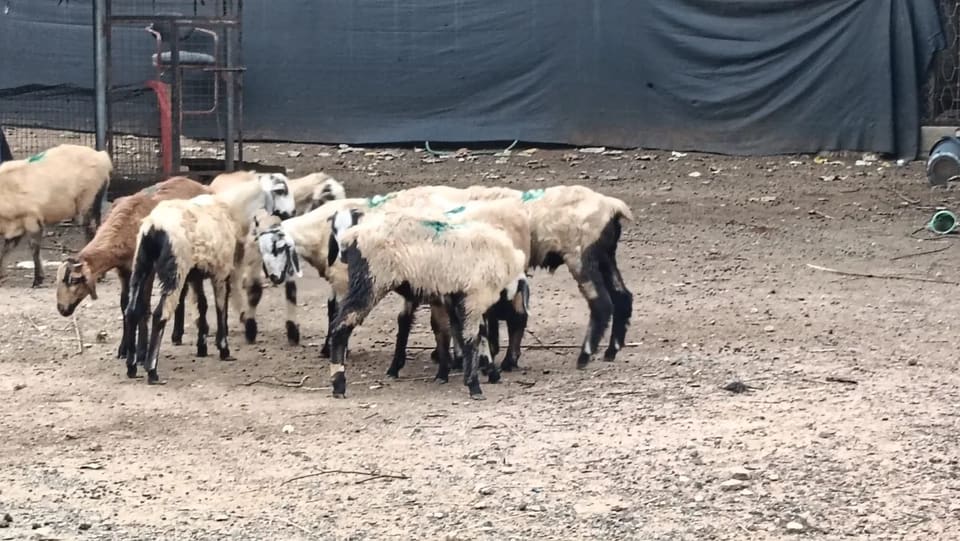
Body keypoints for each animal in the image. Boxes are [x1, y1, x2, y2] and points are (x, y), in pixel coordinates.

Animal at [0, 144, 112, 287]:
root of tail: (102, 157)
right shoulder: (17, 227)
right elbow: (7, 248)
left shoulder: (32, 218)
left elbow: (34, 247)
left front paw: (37, 280)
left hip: (89, 199)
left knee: (91, 230)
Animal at [55, 176, 210, 365]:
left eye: (74, 280)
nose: (61, 309)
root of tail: (199, 184)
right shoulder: (123, 271)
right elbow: (125, 306)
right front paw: (124, 349)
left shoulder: (147, 270)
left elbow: (143, 307)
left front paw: (142, 353)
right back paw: (176, 335)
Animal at [122, 173, 296, 384]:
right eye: (282, 190)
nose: (293, 212)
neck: (231, 209)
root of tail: (155, 228)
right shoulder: (221, 271)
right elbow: (221, 307)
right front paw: (223, 348)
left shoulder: (196, 275)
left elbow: (203, 306)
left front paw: (202, 346)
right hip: (175, 270)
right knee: (160, 314)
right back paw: (152, 371)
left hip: (142, 266)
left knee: (132, 311)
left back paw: (131, 367)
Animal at [323, 207, 528, 400]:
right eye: (518, 319)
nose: (512, 360)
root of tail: (354, 235)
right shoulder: (474, 298)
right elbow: (472, 339)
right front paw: (474, 386)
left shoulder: (456, 300)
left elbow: (469, 334)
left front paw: (488, 373)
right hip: (371, 280)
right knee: (341, 326)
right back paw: (338, 385)